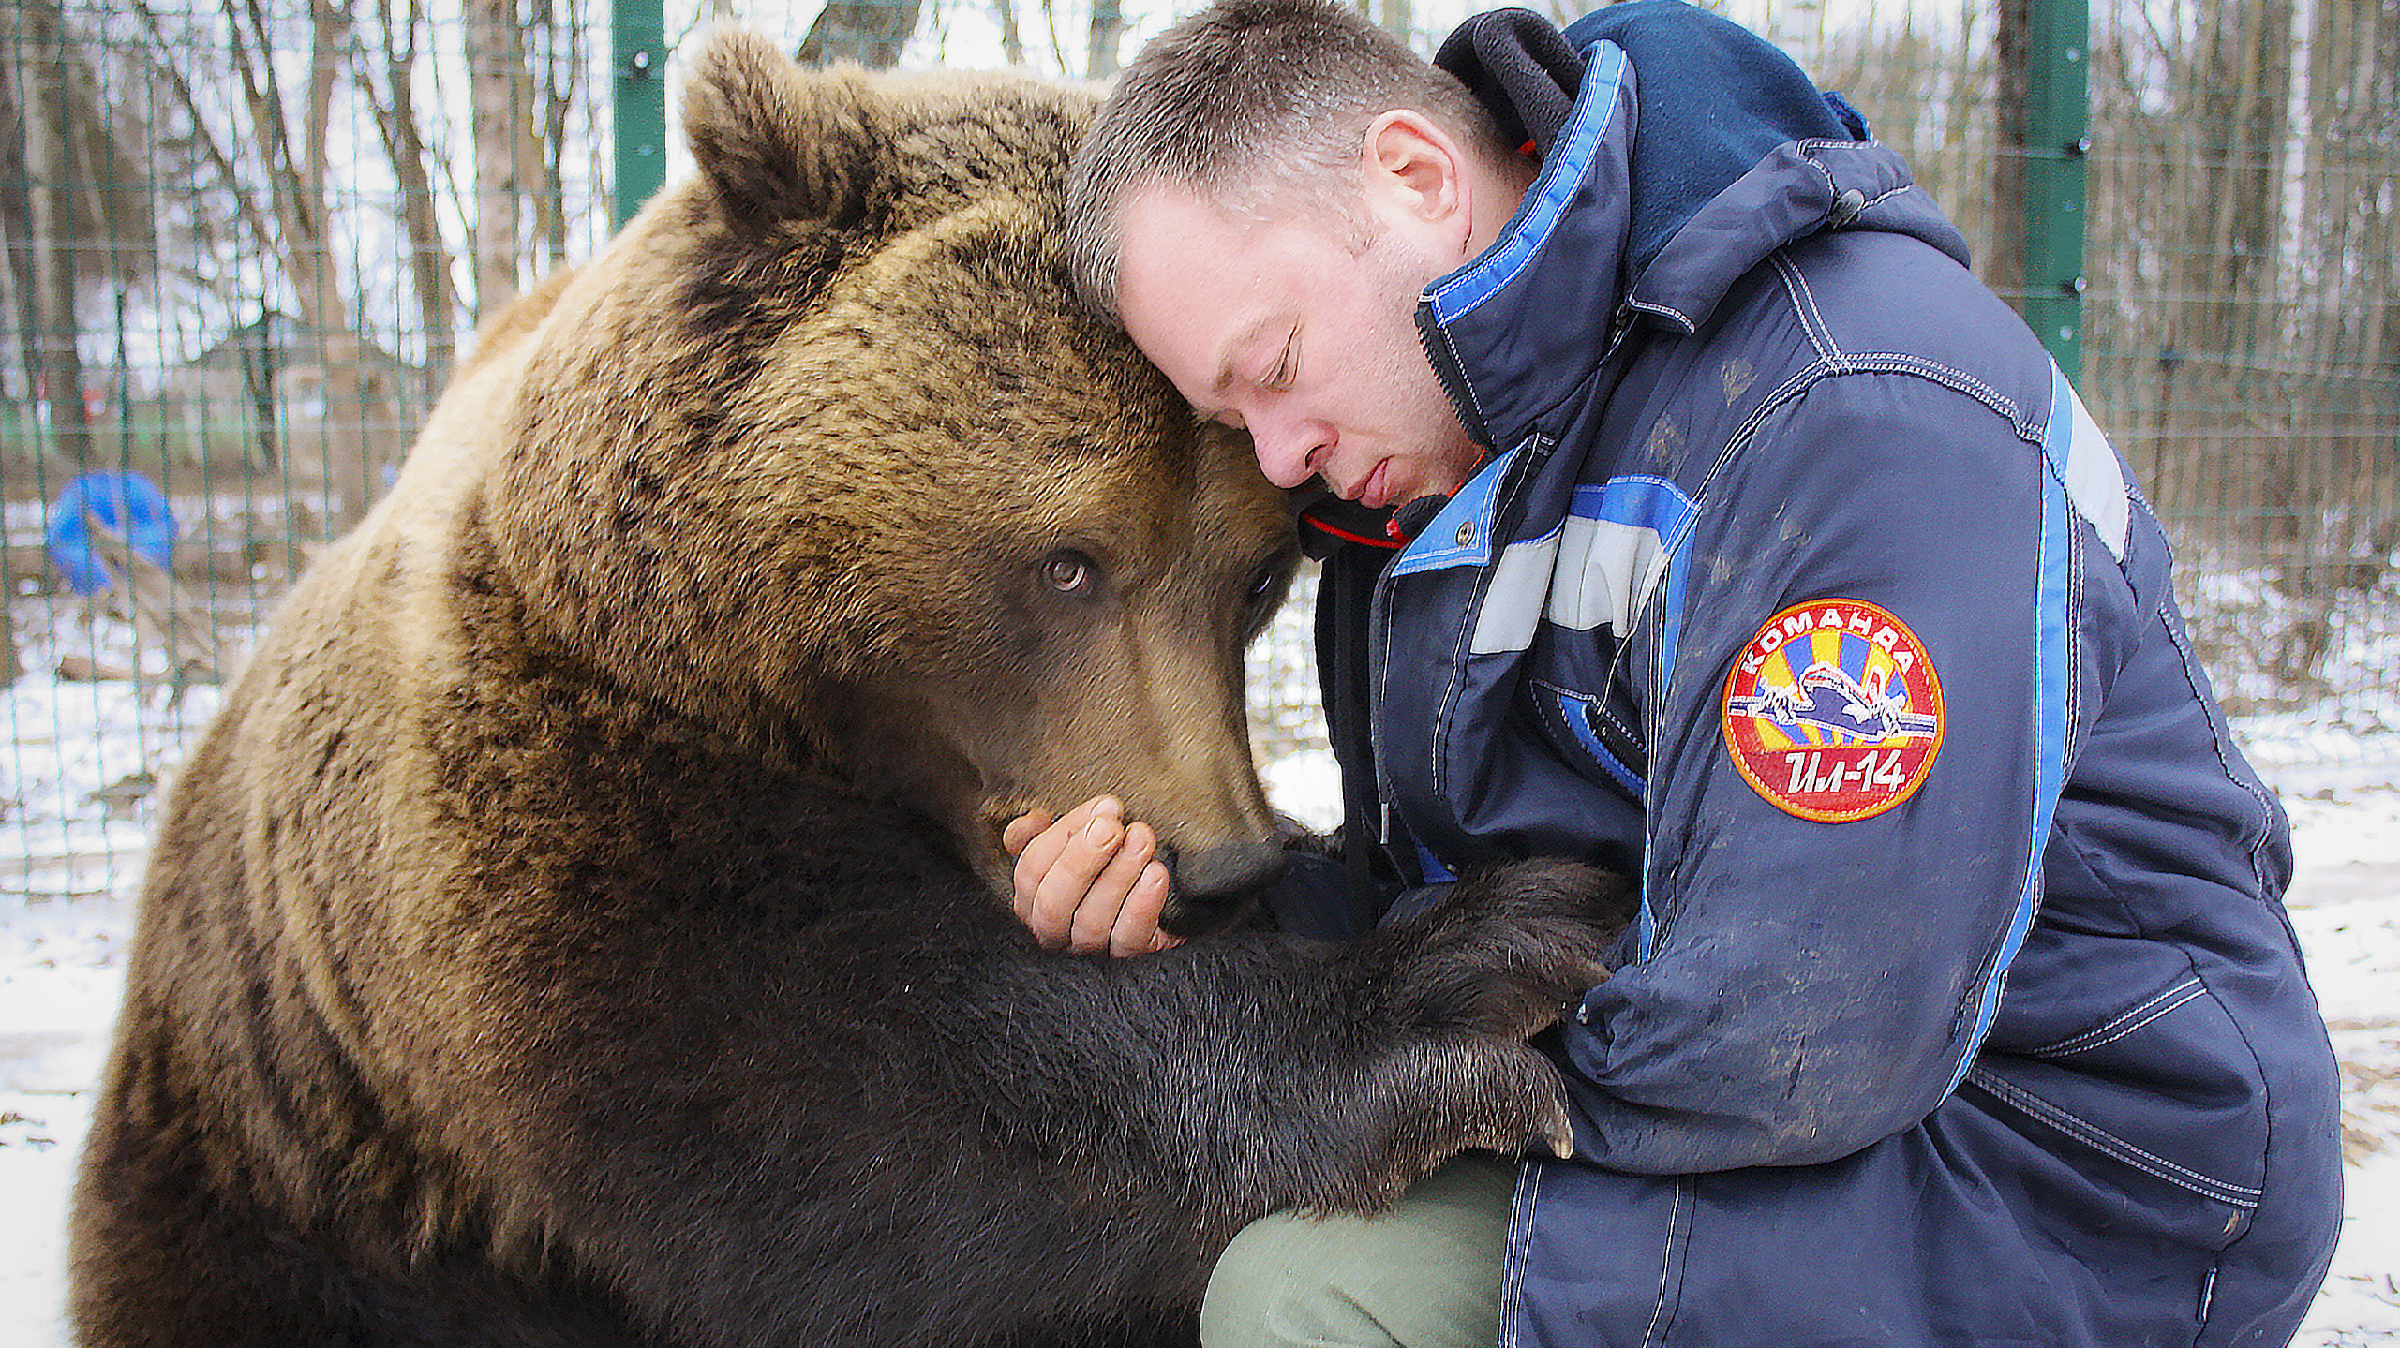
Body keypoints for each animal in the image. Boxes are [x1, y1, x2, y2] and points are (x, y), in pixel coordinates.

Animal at [60, 31, 1632, 1343]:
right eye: (1069, 560)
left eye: (1254, 576)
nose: (1220, 863)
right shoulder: (545, 807)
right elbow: (837, 1100)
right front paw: (1472, 974)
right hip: (293, 1197)